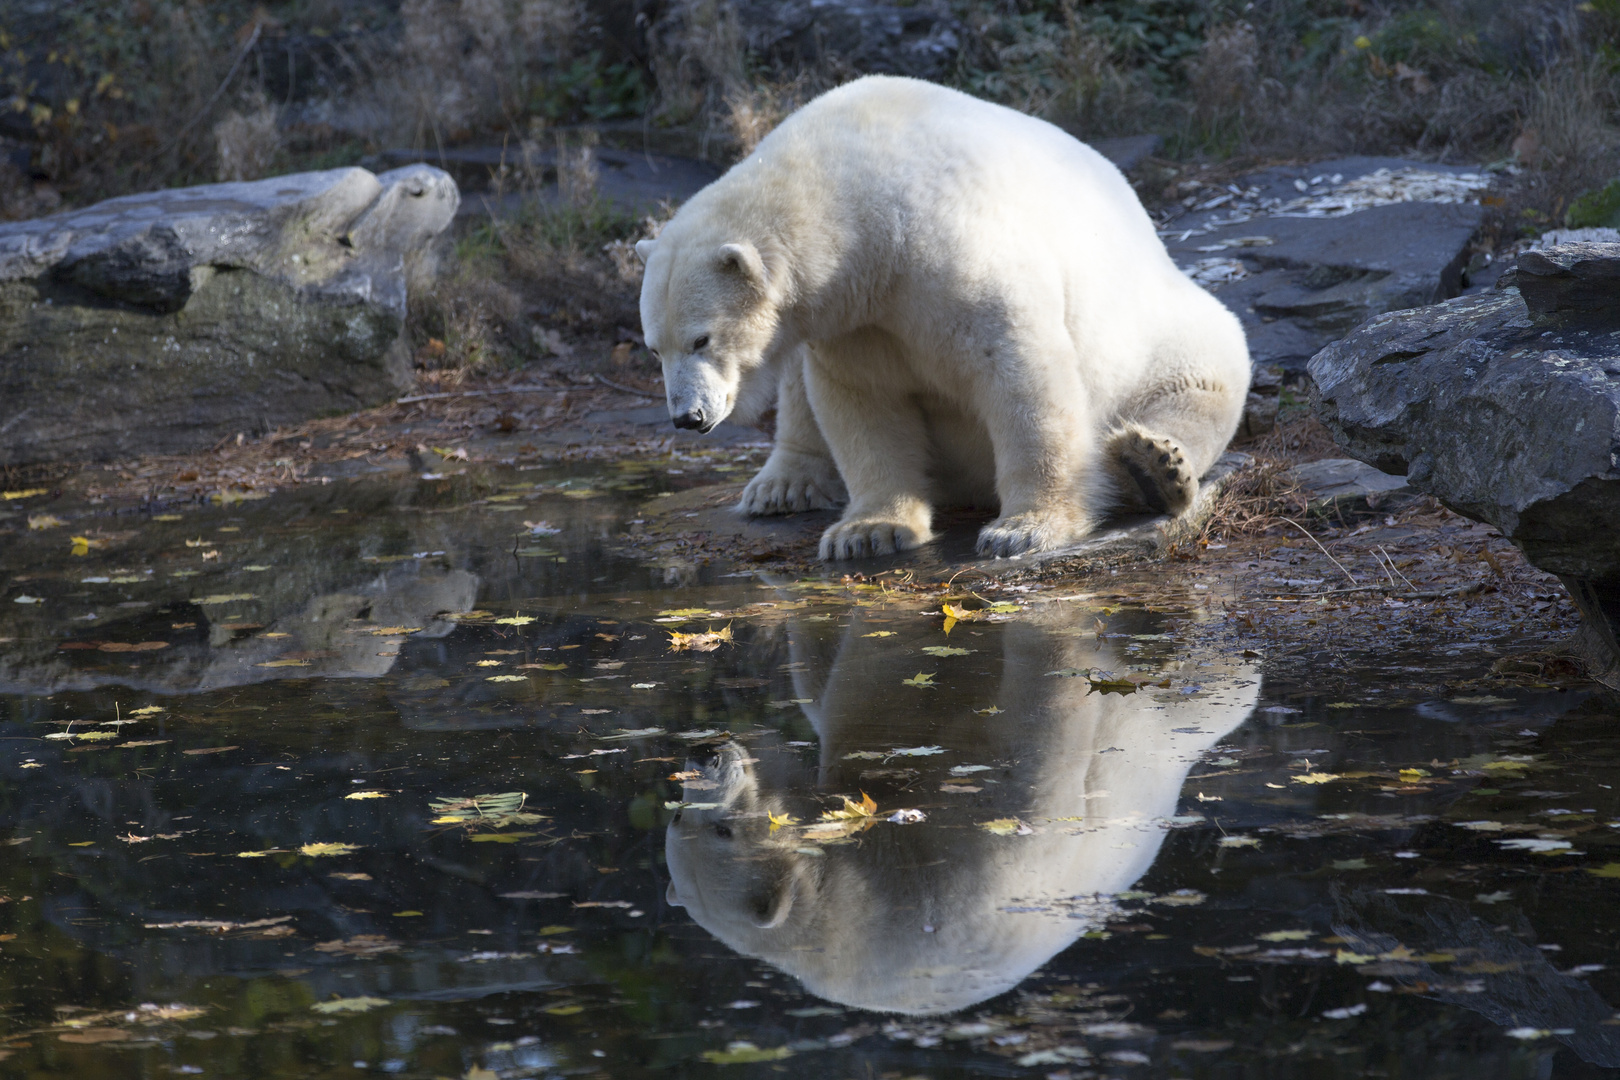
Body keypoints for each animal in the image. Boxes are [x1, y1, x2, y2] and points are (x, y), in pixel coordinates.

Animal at [638, 76, 1244, 563]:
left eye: (701, 339)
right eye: (654, 347)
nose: (687, 417)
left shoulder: (947, 255)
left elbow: (1021, 374)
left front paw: (1024, 530)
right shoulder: (853, 320)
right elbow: (862, 400)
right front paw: (867, 531)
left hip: (1174, 331)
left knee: (1198, 385)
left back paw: (1153, 466)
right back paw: (781, 485)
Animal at [664, 612, 1257, 1016]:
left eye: (696, 823)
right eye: (717, 829)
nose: (703, 752)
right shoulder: (966, 869)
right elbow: (1036, 755)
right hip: (1156, 745)